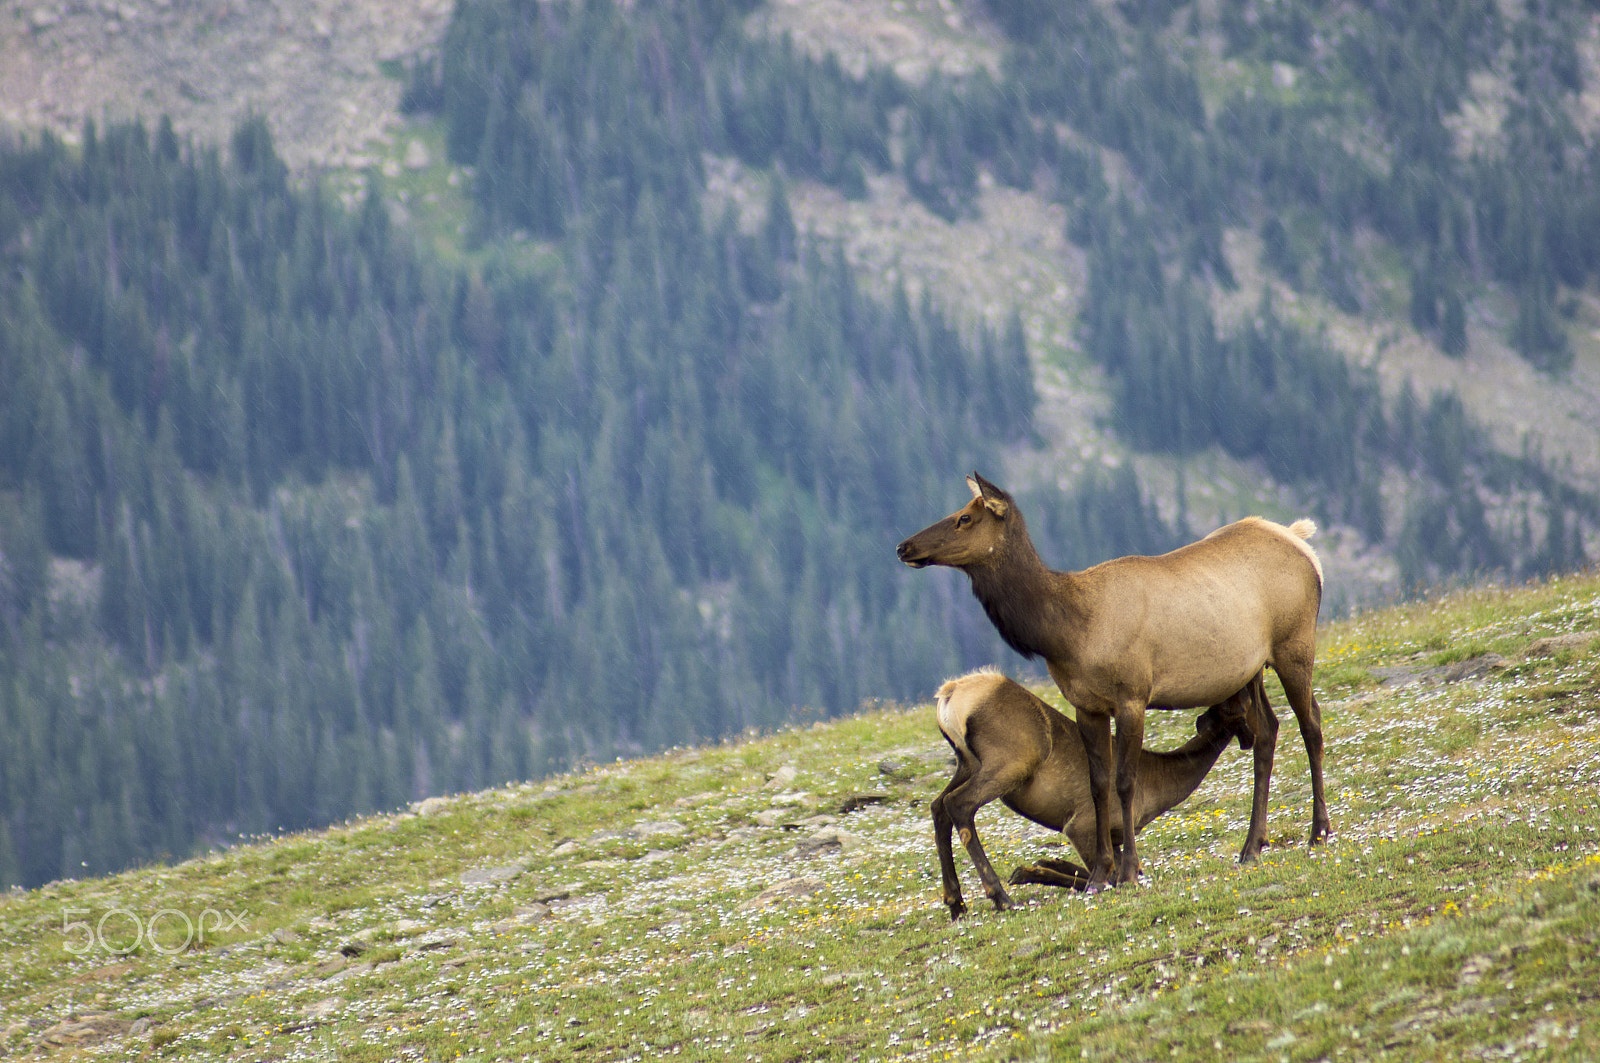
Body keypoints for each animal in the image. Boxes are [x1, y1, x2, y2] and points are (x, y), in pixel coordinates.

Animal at [898, 472, 1327, 892]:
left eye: (965, 518)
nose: (904, 547)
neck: (1067, 631)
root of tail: (1301, 541)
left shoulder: (1133, 695)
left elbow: (1125, 781)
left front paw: (1129, 871)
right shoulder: (1086, 704)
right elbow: (1097, 783)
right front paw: (1102, 875)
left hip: (1294, 644)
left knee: (1311, 725)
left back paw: (1318, 833)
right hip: (1249, 670)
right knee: (1267, 732)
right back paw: (1252, 846)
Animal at [932, 667, 1265, 919]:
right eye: (1243, 698)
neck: (1156, 791)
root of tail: (948, 695)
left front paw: (1040, 865)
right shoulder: (1081, 825)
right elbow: (1110, 878)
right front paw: (1030, 871)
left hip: (968, 763)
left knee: (938, 805)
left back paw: (956, 902)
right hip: (1012, 761)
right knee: (957, 804)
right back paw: (1000, 897)